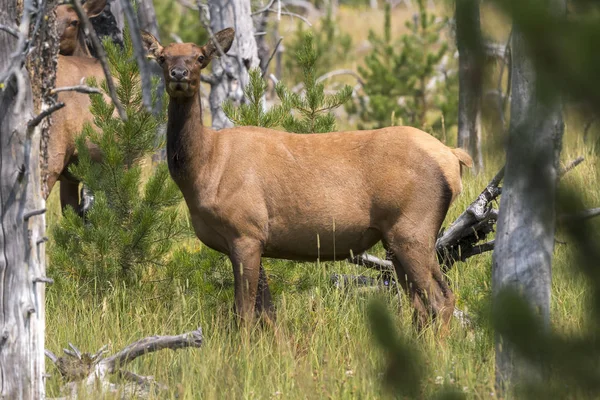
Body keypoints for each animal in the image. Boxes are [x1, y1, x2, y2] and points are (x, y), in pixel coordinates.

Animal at [141, 28, 474, 332]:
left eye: (200, 57)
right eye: (162, 57)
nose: (179, 73)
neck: (204, 171)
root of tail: (452, 157)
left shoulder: (245, 231)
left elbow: (244, 314)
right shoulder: (255, 239)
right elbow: (269, 314)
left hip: (412, 227)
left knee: (440, 299)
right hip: (395, 238)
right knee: (421, 305)